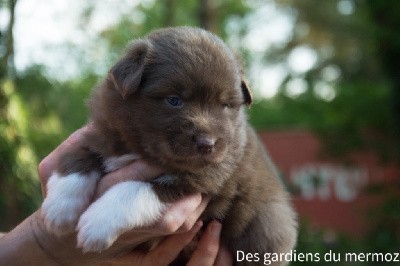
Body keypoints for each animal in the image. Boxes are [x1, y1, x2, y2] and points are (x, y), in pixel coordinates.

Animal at [41, 26, 296, 264]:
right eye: (174, 100)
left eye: (225, 105)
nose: (207, 144)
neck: (142, 150)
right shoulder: (104, 135)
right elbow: (77, 157)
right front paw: (59, 209)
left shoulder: (201, 178)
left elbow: (135, 189)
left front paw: (97, 222)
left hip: (268, 223)